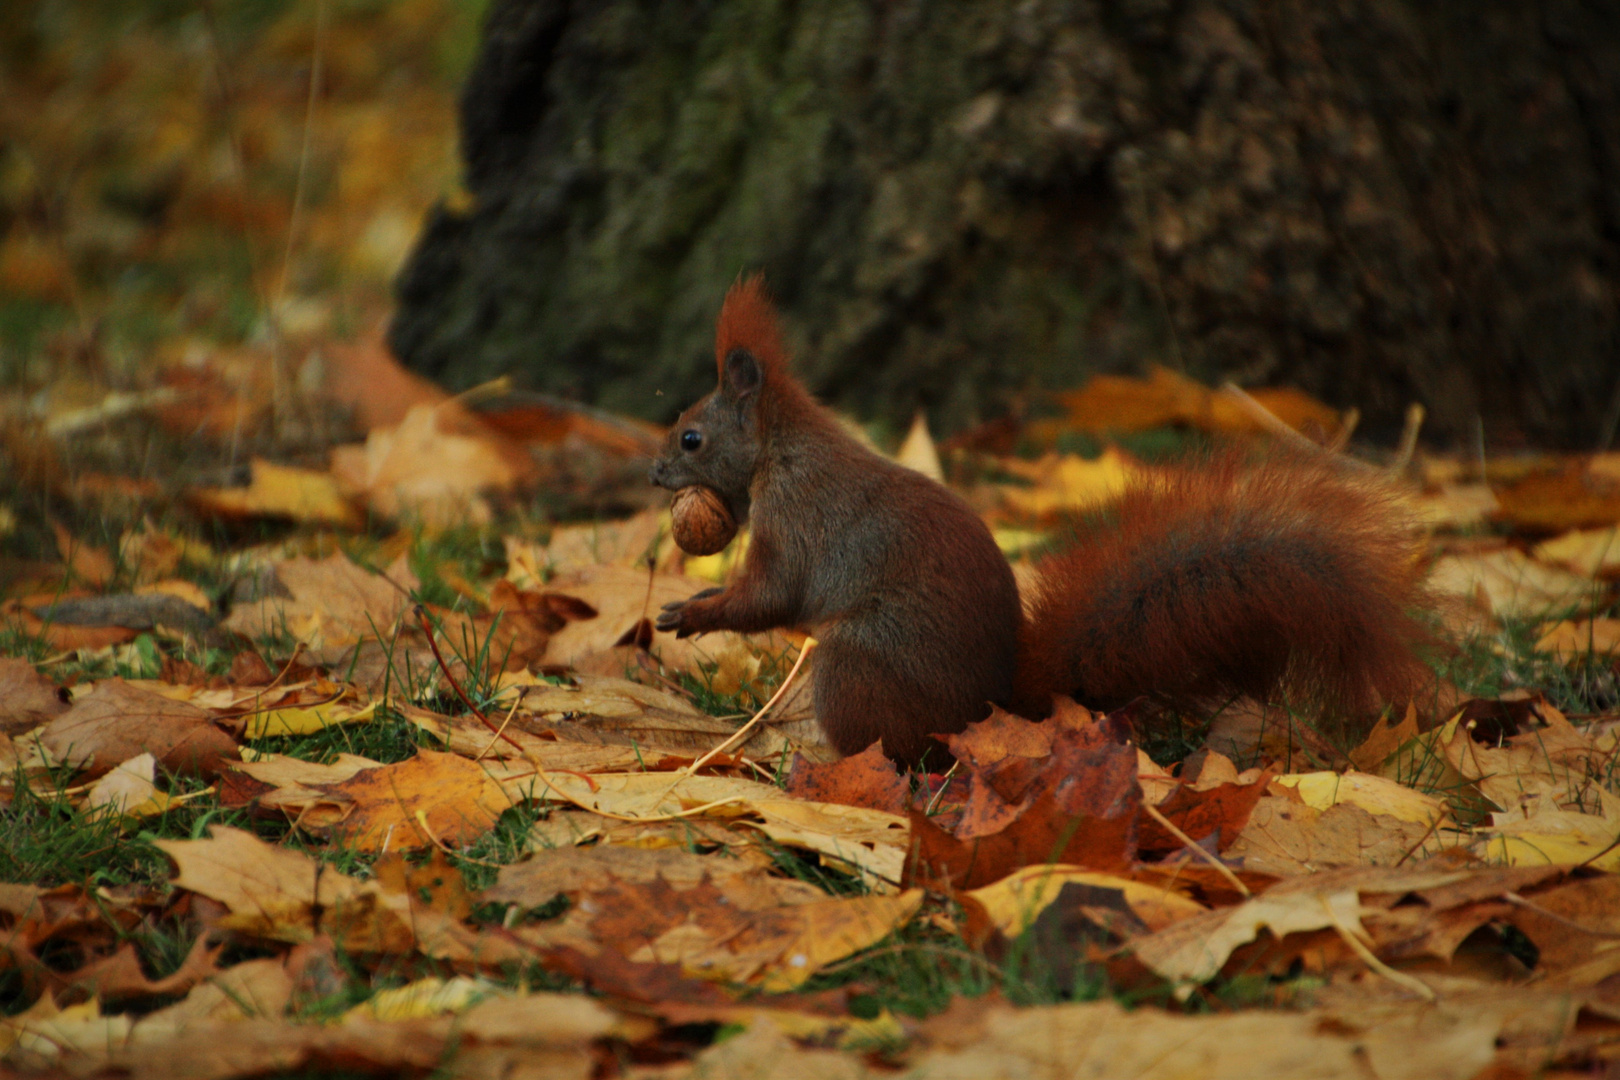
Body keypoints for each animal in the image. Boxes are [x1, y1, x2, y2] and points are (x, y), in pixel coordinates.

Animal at [644, 278, 1432, 767]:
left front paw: (696, 612)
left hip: (861, 665)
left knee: (902, 756)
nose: (652, 474)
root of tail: (994, 710)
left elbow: (772, 595)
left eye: (691, 438)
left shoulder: (797, 516)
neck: (780, 448)